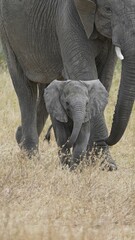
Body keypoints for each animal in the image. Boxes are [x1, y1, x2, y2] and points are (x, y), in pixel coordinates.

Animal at [0, 0, 134, 165]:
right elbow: (84, 73)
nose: (108, 139)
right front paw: (105, 165)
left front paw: (94, 161)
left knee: (47, 89)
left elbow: (105, 77)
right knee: (25, 89)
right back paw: (31, 158)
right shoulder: (68, 14)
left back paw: (20, 139)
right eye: (108, 9)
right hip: (8, 31)